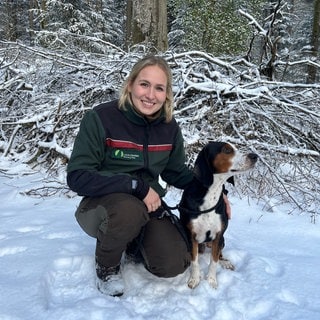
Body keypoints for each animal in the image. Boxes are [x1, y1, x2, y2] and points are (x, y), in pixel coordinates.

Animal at [179, 141, 258, 288]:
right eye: (227, 150)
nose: (255, 156)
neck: (211, 194)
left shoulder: (218, 235)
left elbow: (214, 261)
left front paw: (211, 281)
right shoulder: (191, 235)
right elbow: (194, 261)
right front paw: (194, 279)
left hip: (222, 240)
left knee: (220, 253)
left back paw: (226, 262)